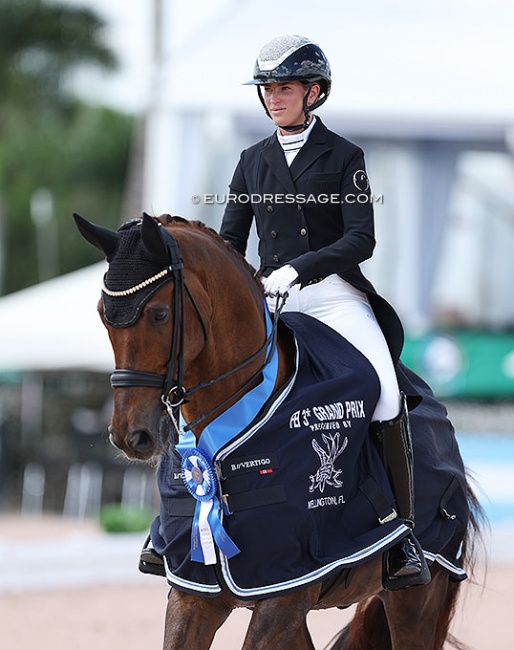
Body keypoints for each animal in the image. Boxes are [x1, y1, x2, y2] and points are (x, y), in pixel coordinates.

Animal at [73, 213, 480, 648]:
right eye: (103, 314)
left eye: (159, 314)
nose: (130, 436)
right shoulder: (199, 590)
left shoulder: (287, 591)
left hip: (420, 595)